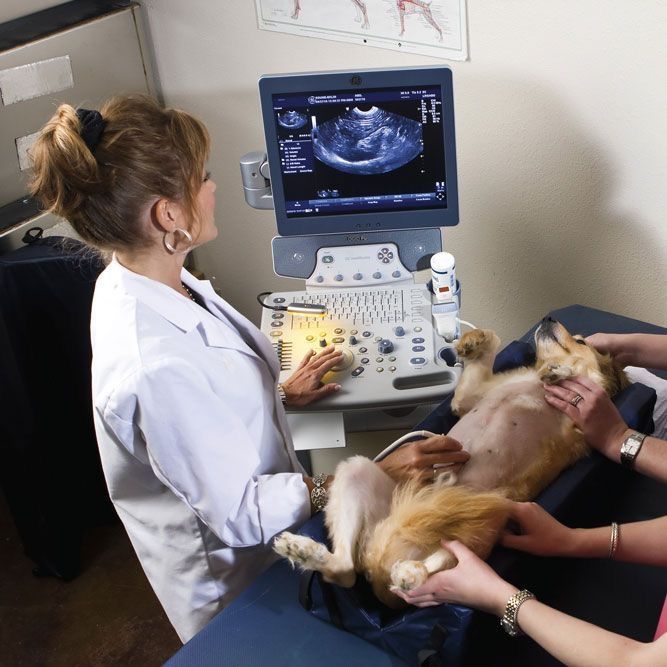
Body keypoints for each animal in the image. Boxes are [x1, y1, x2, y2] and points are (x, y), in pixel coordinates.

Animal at [274, 320, 628, 608]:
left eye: (580, 341)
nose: (549, 317)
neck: (537, 386)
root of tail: (380, 564)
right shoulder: (468, 398)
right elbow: (491, 344)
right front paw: (473, 341)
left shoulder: (581, 428)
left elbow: (586, 385)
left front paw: (558, 372)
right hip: (357, 470)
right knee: (345, 570)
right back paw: (302, 549)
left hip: (486, 516)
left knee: (431, 565)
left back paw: (408, 573)